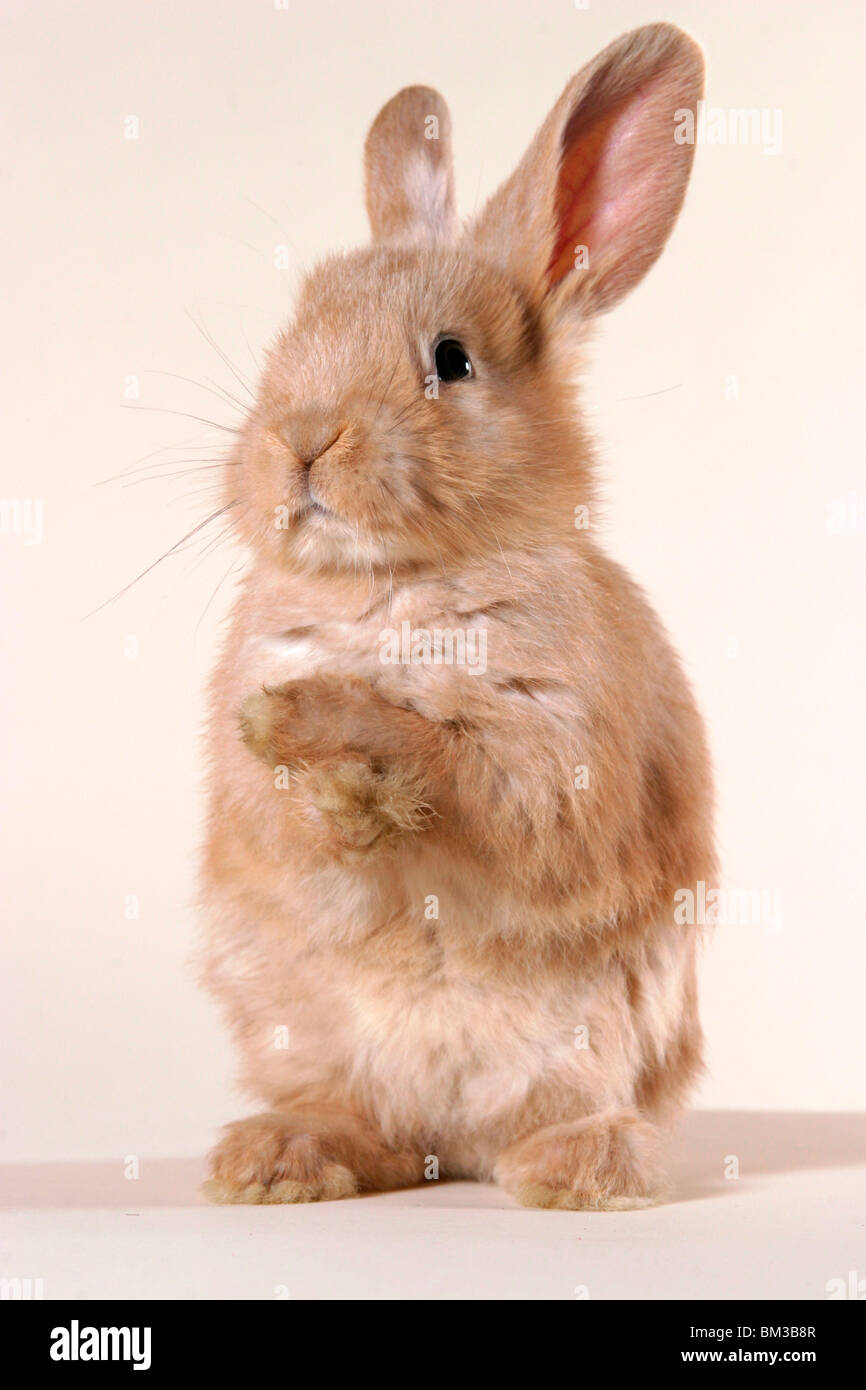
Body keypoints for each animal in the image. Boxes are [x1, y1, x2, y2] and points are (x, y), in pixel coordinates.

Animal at [200, 22, 716, 1211]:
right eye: (292, 333)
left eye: (451, 360)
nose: (301, 439)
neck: (390, 582)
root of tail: (455, 1145)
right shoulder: (247, 799)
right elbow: (283, 822)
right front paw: (318, 777)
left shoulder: (552, 750)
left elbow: (459, 770)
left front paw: (338, 746)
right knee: (369, 1126)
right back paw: (279, 1158)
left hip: (609, 1023)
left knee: (561, 1117)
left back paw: (574, 1170)